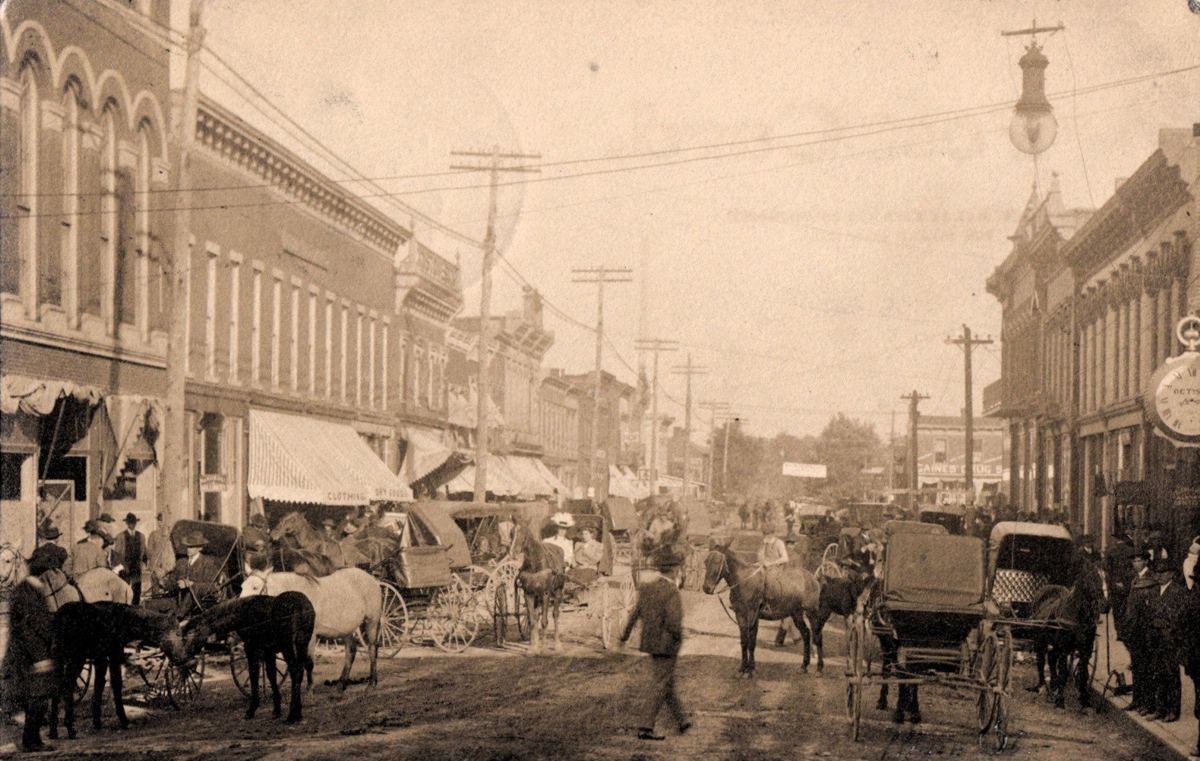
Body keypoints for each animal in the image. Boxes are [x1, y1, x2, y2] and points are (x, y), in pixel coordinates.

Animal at [48, 597, 187, 734]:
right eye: (177, 634)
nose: (183, 658)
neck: (125, 621)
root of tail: (60, 617)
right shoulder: (114, 653)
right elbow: (116, 684)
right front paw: (123, 721)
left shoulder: (101, 658)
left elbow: (99, 685)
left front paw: (97, 722)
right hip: (76, 657)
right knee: (67, 686)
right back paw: (69, 727)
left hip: (58, 657)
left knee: (56, 686)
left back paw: (53, 730)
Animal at [181, 590, 314, 720]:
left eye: (191, 633)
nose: (185, 655)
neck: (242, 613)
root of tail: (301, 607)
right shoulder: (268, 650)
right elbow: (271, 675)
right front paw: (276, 710)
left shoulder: (251, 647)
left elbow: (254, 674)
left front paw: (251, 710)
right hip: (302, 644)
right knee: (301, 670)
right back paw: (298, 712)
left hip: (288, 646)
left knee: (295, 671)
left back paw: (292, 715)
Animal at [238, 564, 379, 686]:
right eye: (242, 586)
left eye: (255, 587)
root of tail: (370, 578)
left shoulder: (309, 636)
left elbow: (308, 662)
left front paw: (309, 689)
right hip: (346, 629)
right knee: (351, 651)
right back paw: (341, 684)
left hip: (371, 622)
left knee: (372, 648)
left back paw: (372, 682)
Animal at [700, 542, 825, 672]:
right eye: (705, 561)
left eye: (717, 561)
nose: (706, 588)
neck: (743, 581)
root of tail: (813, 578)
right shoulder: (740, 615)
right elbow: (744, 641)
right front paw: (743, 667)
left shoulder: (752, 615)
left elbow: (751, 642)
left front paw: (750, 669)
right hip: (797, 613)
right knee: (806, 634)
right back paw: (804, 665)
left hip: (812, 612)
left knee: (817, 636)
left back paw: (819, 667)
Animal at [1027, 554, 1108, 710]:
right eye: (1092, 577)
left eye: (1106, 578)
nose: (1105, 605)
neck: (1077, 616)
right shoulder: (1065, 648)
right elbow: (1064, 672)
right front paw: (1060, 700)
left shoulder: (1086, 649)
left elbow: (1083, 673)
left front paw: (1084, 699)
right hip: (1040, 639)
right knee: (1041, 660)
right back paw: (1041, 685)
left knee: (1051, 657)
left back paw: (1053, 686)